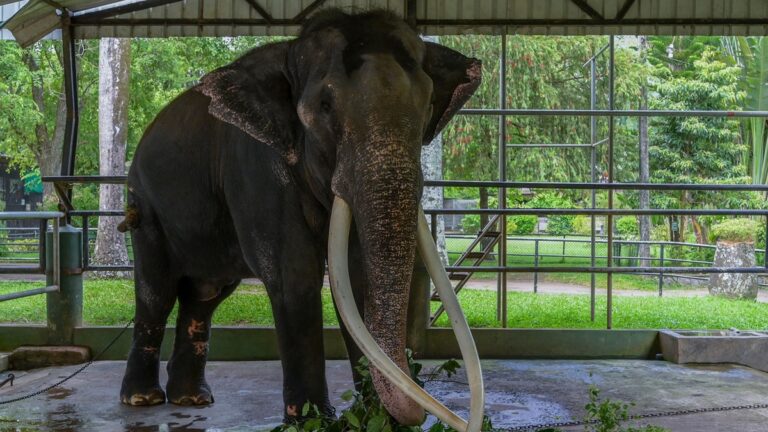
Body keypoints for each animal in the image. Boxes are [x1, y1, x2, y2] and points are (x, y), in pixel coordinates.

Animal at [119, 8, 482, 426]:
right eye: (325, 105)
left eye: (426, 106)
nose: (423, 413)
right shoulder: (256, 168)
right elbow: (294, 275)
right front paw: (313, 422)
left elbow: (356, 281)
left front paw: (374, 418)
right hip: (145, 208)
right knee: (156, 292)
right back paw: (142, 399)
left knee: (204, 296)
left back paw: (191, 400)